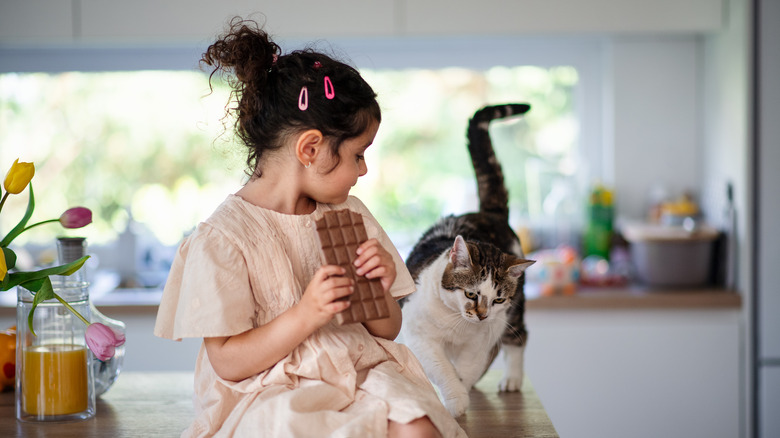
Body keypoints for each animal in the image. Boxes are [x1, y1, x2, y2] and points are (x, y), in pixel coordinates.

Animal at [402, 102, 536, 418]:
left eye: (497, 298)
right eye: (471, 294)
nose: (482, 314)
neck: (457, 325)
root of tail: (488, 213)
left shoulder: (485, 335)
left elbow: (469, 364)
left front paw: (461, 388)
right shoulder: (419, 337)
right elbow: (441, 368)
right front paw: (455, 397)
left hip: (514, 312)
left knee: (517, 339)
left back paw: (511, 379)